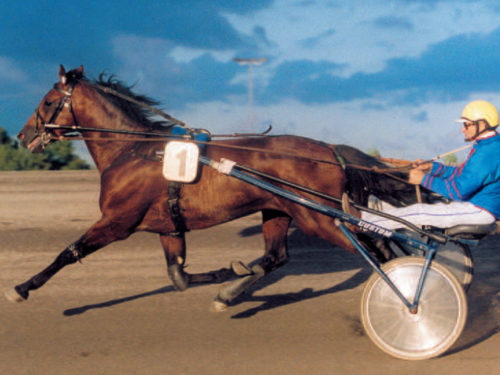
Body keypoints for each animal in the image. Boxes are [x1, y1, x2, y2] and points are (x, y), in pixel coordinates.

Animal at [7, 65, 408, 312]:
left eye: (47, 102)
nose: (23, 136)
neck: (132, 149)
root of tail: (331, 151)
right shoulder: (168, 228)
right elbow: (179, 277)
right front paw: (230, 273)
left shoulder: (116, 222)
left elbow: (69, 252)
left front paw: (22, 288)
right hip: (279, 211)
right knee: (277, 256)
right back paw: (228, 295)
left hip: (320, 219)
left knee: (378, 247)